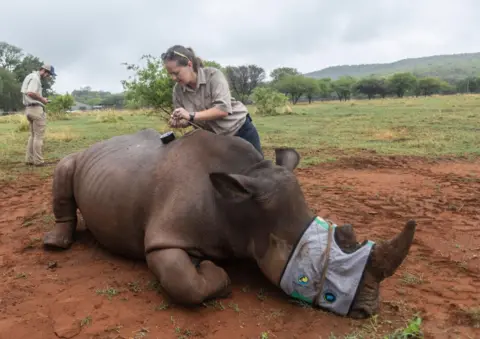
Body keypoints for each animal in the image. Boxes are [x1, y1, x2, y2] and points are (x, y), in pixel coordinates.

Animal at [43, 127, 416, 318]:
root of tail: (98, 145)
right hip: (78, 158)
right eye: (314, 276)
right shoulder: (163, 240)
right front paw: (218, 276)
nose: (369, 312)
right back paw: (54, 244)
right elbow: (184, 282)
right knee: (64, 167)